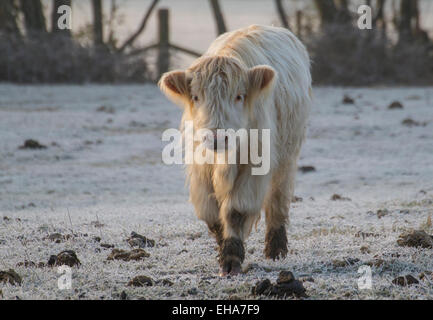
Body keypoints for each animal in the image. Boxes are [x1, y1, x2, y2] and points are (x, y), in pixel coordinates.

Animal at [159, 25, 310, 276]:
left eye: (239, 96)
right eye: (196, 97)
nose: (217, 137)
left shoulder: (254, 165)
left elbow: (236, 210)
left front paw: (231, 258)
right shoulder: (200, 168)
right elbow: (212, 215)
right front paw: (223, 251)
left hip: (287, 156)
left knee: (278, 200)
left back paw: (276, 250)